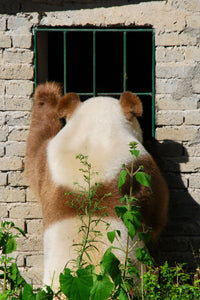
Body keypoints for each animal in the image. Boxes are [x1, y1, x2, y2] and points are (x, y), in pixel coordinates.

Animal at [25, 82, 169, 290]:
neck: (94, 131)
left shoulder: (47, 165)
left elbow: (34, 149)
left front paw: (48, 93)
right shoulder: (138, 166)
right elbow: (158, 210)